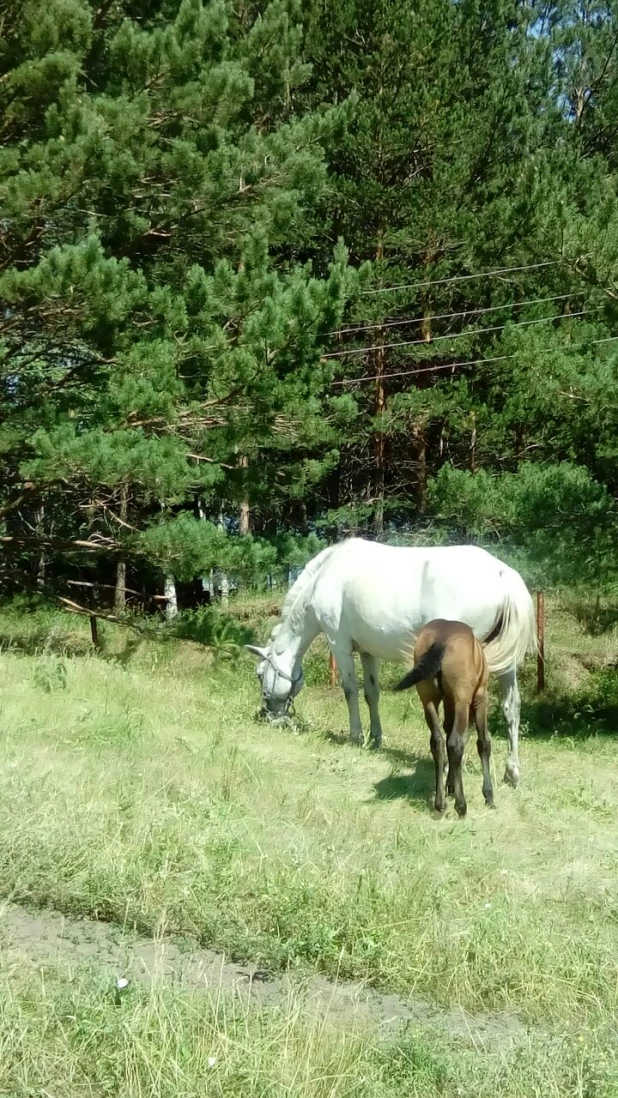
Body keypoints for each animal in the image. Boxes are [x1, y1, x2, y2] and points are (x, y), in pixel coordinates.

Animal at [246, 538, 537, 781]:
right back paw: (512, 771)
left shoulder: (338, 644)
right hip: (506, 663)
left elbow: (350, 691)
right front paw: (376, 739)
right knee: (511, 707)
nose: (268, 716)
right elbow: (371, 693)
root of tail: (502, 575)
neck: (325, 576)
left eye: (260, 674)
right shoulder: (367, 652)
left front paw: (355, 736)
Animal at [397, 619, 493, 816]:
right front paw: (488, 795)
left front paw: (450, 786)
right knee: (455, 743)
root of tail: (441, 640)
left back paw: (440, 802)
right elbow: (483, 744)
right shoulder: (480, 698)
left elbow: (447, 732)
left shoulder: (449, 703)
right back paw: (461, 806)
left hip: (428, 700)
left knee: (438, 741)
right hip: (462, 701)